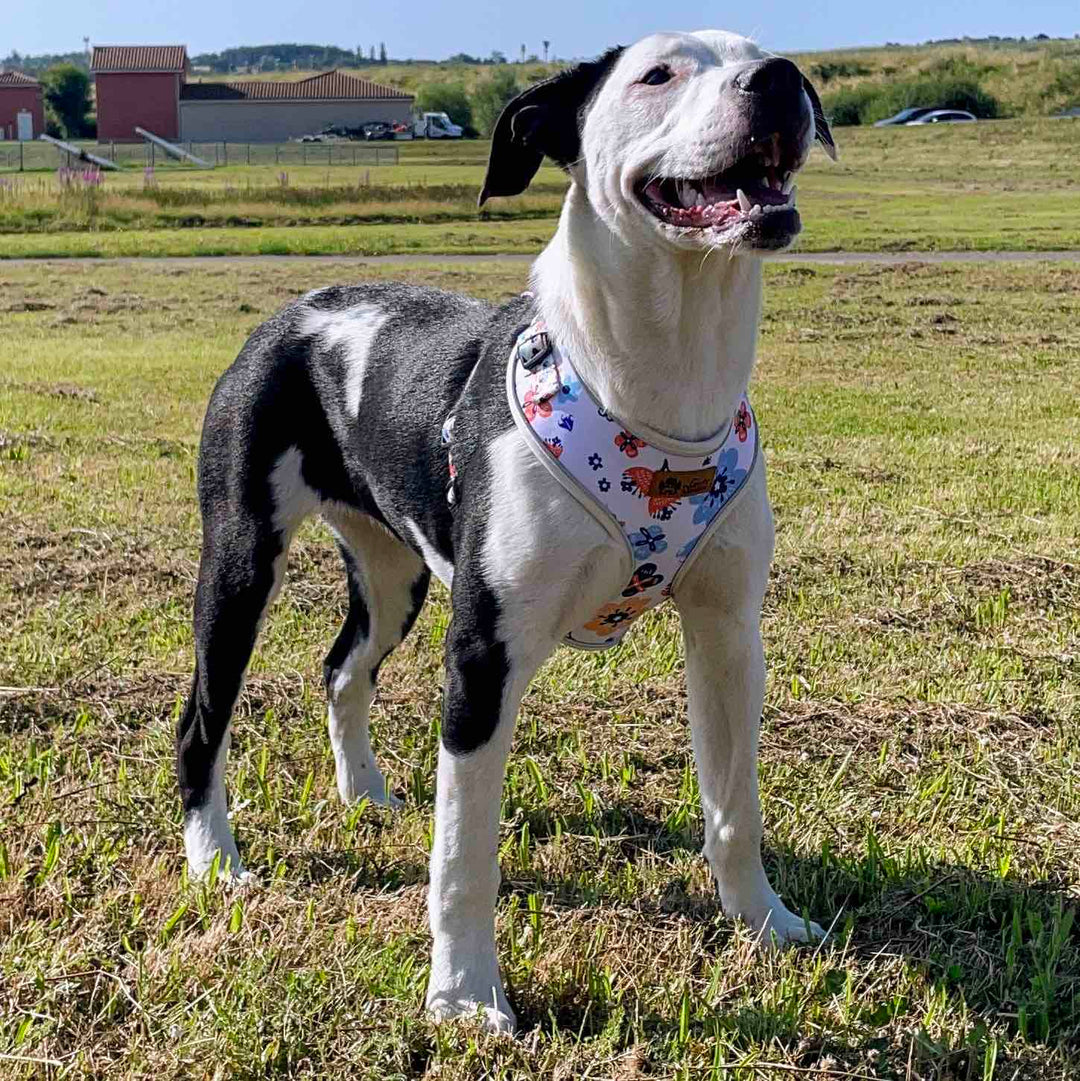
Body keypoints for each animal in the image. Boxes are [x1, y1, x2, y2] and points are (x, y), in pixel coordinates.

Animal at [175, 29, 834, 1033]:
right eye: (656, 74)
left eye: (766, 52)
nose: (782, 81)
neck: (662, 385)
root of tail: (297, 310)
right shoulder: (483, 654)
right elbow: (463, 855)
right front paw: (465, 994)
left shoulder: (728, 633)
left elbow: (735, 805)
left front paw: (765, 922)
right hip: (242, 561)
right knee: (203, 718)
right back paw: (215, 857)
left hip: (395, 574)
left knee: (342, 668)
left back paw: (365, 793)